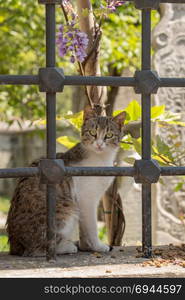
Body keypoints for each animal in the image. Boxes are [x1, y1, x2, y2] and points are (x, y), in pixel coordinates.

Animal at [6, 105, 126, 255]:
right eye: (92, 132)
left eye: (109, 135)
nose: (99, 144)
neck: (100, 159)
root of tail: (15, 245)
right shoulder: (86, 199)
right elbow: (91, 226)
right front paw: (96, 246)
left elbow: (84, 229)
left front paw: (86, 246)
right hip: (66, 209)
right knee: (37, 249)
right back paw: (66, 247)